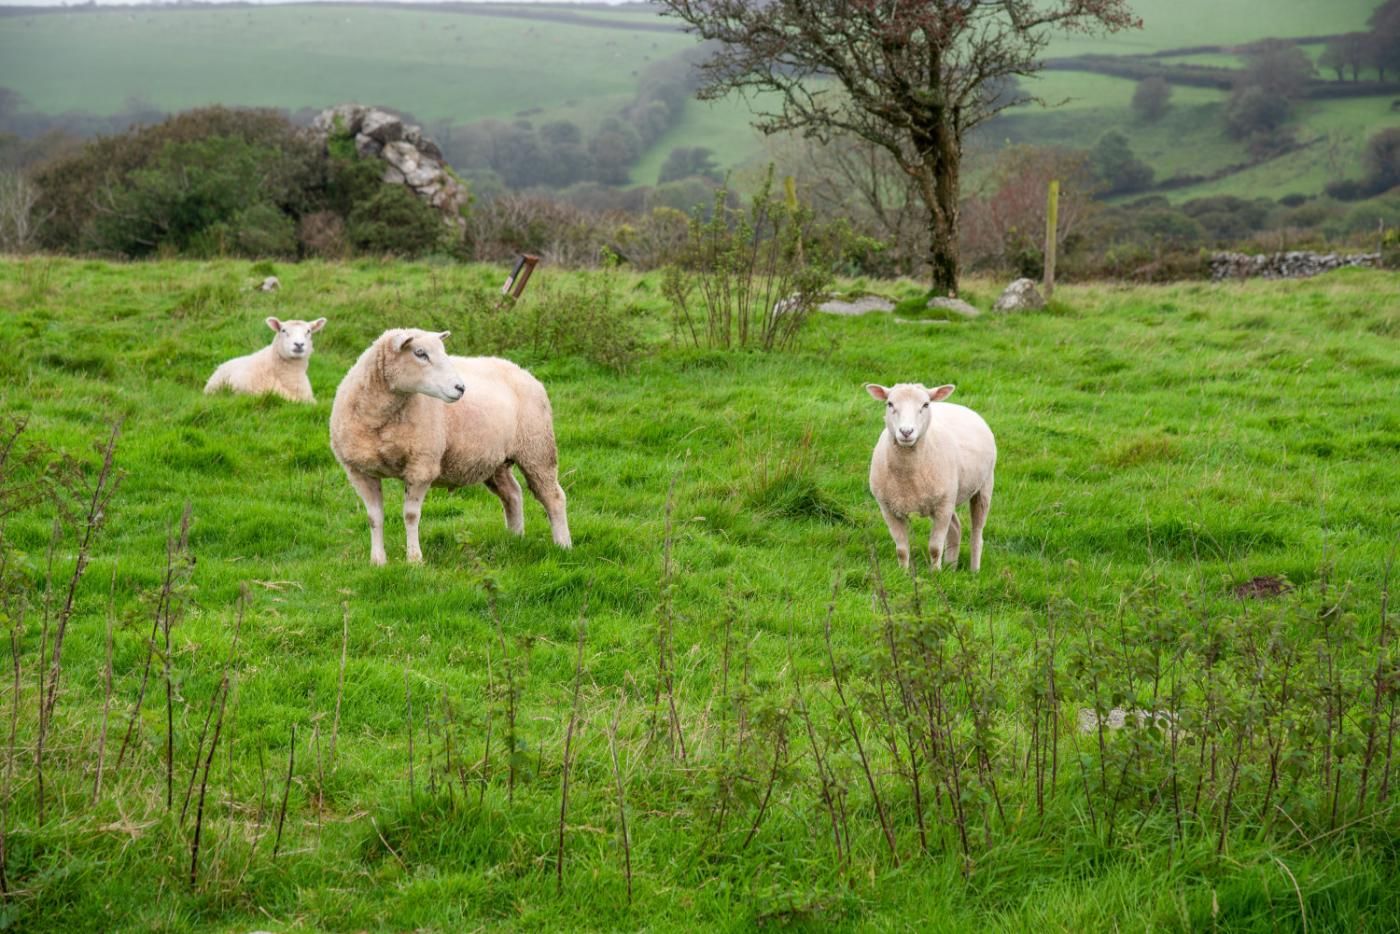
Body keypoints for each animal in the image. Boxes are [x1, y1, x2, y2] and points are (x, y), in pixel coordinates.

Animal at [329, 328, 571, 565]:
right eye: (420, 353)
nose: (460, 388)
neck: (380, 420)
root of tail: (522, 370)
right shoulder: (359, 470)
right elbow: (374, 517)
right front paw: (378, 561)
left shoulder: (422, 466)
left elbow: (410, 515)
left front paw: (414, 559)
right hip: (494, 459)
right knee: (512, 494)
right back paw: (515, 538)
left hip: (537, 448)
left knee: (553, 497)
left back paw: (563, 545)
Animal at [866, 382, 996, 572]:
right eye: (890, 404)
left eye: (925, 405)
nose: (906, 432)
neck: (907, 478)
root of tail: (955, 405)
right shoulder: (888, 508)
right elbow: (902, 549)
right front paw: (904, 573)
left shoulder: (943, 507)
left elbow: (934, 548)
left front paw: (935, 573)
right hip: (949, 495)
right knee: (956, 527)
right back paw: (951, 567)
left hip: (984, 486)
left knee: (977, 533)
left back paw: (974, 571)